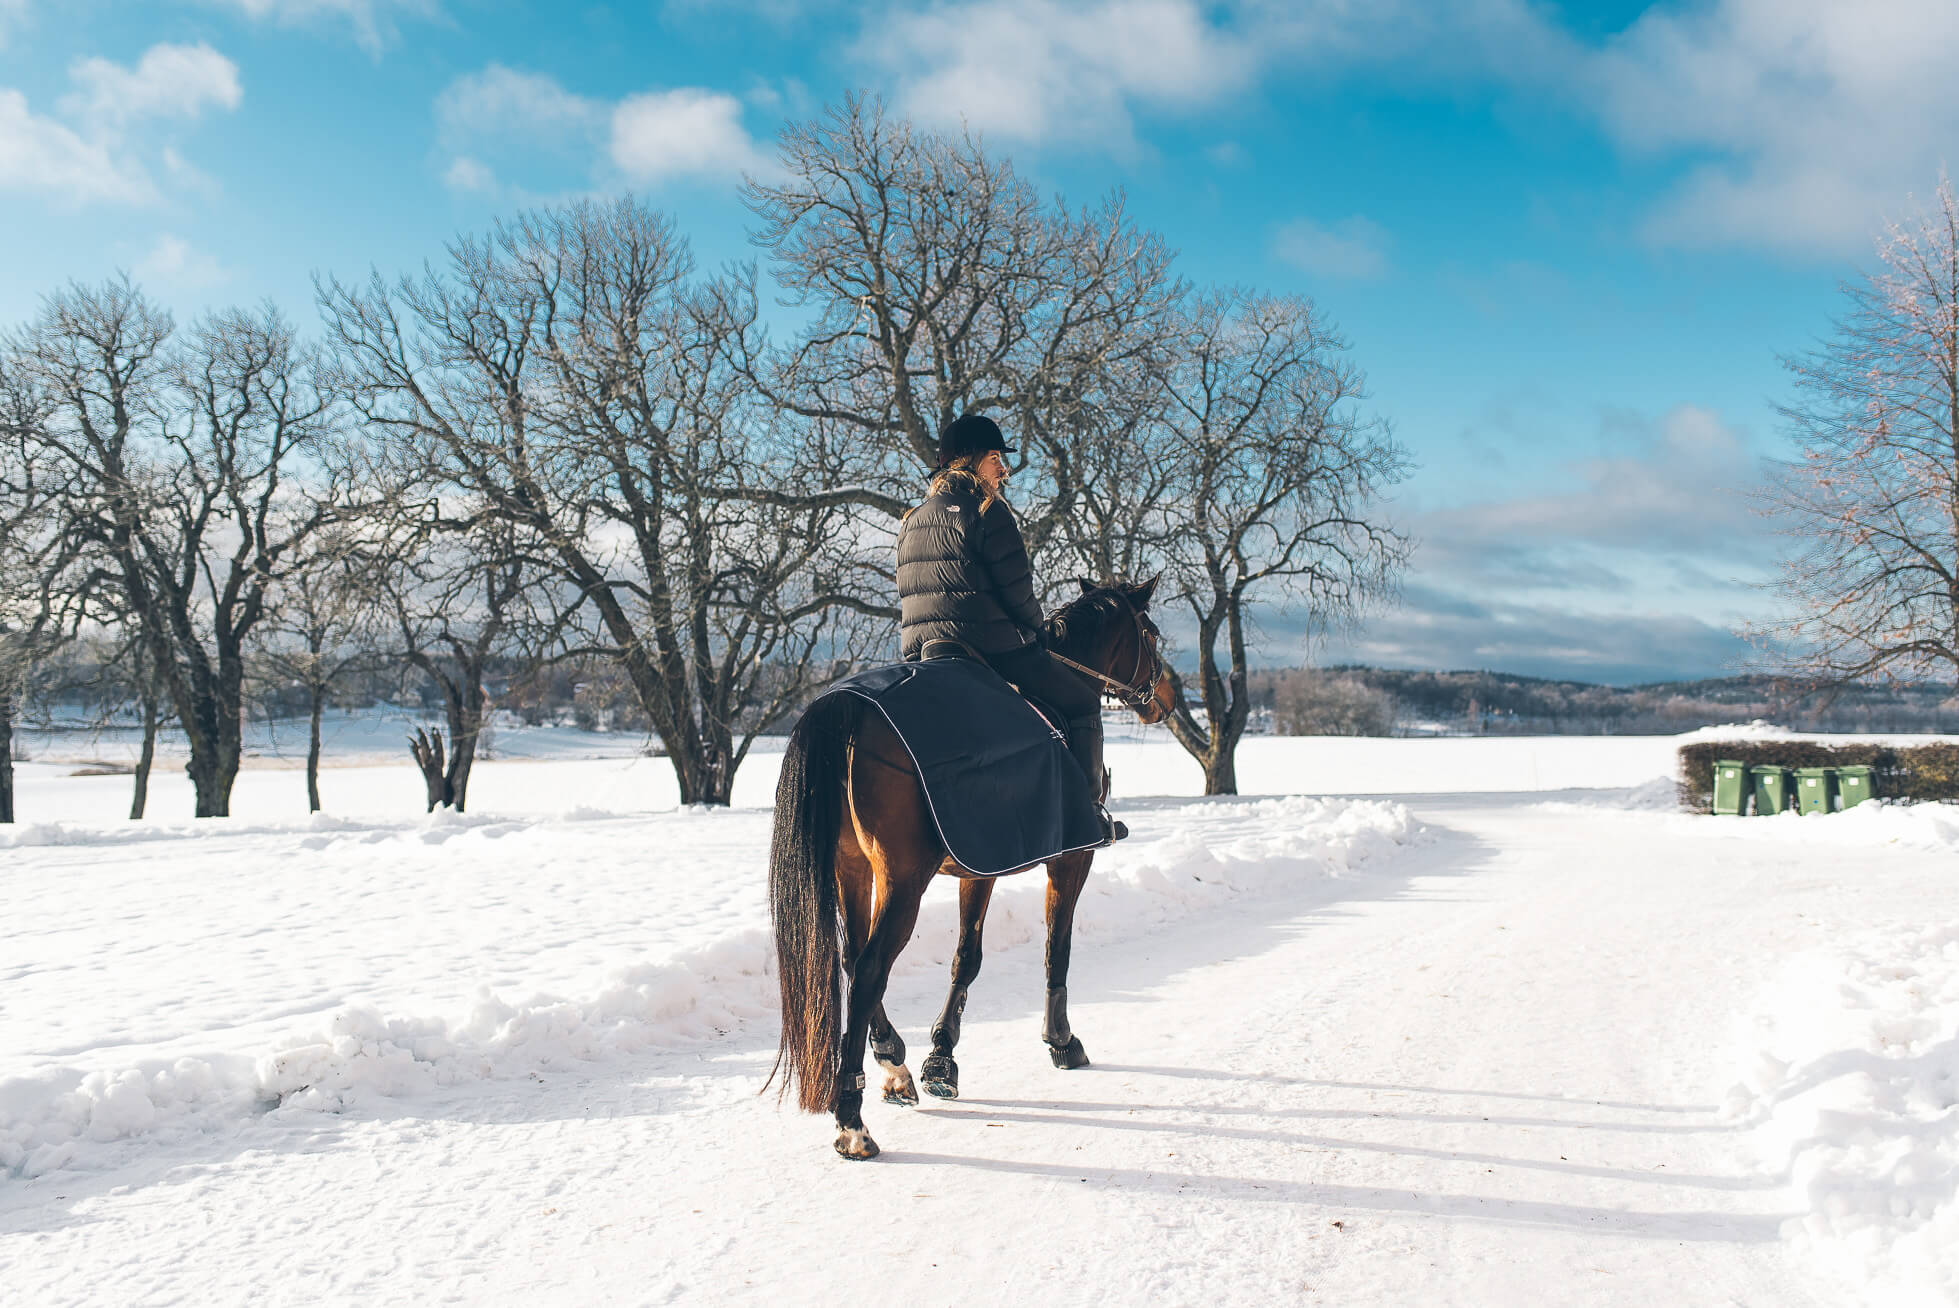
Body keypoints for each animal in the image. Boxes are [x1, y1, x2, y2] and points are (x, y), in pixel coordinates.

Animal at [764, 575, 1167, 1159]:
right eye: (1151, 634)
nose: (1164, 698)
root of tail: (846, 710)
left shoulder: (977, 867)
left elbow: (965, 958)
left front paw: (940, 1058)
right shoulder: (1073, 857)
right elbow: (1056, 946)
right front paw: (1061, 1040)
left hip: (853, 869)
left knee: (852, 959)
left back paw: (892, 1063)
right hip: (902, 879)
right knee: (869, 970)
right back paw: (852, 1121)